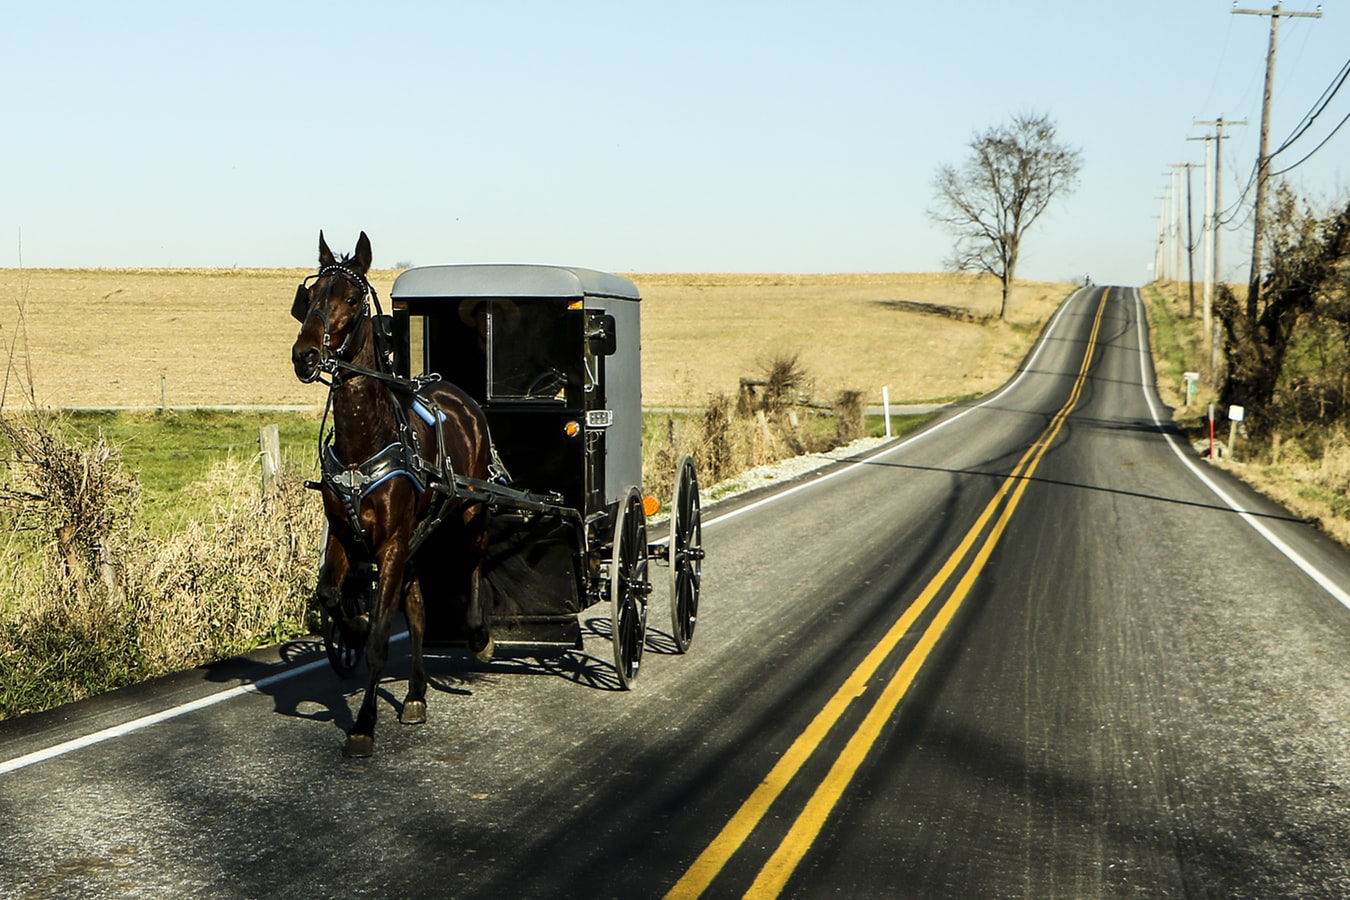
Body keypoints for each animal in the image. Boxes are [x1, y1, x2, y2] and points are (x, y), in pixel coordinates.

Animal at [292, 232, 494, 761]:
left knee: (473, 562)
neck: (366, 441)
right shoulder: (344, 533)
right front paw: (352, 626)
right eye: (310, 296)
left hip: (469, 508)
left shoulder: (391, 545)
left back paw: (479, 636)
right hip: (417, 539)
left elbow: (382, 639)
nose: (304, 355)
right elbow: (331, 595)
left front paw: (363, 724)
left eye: (351, 299)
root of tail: (456, 393)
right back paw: (418, 693)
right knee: (419, 608)